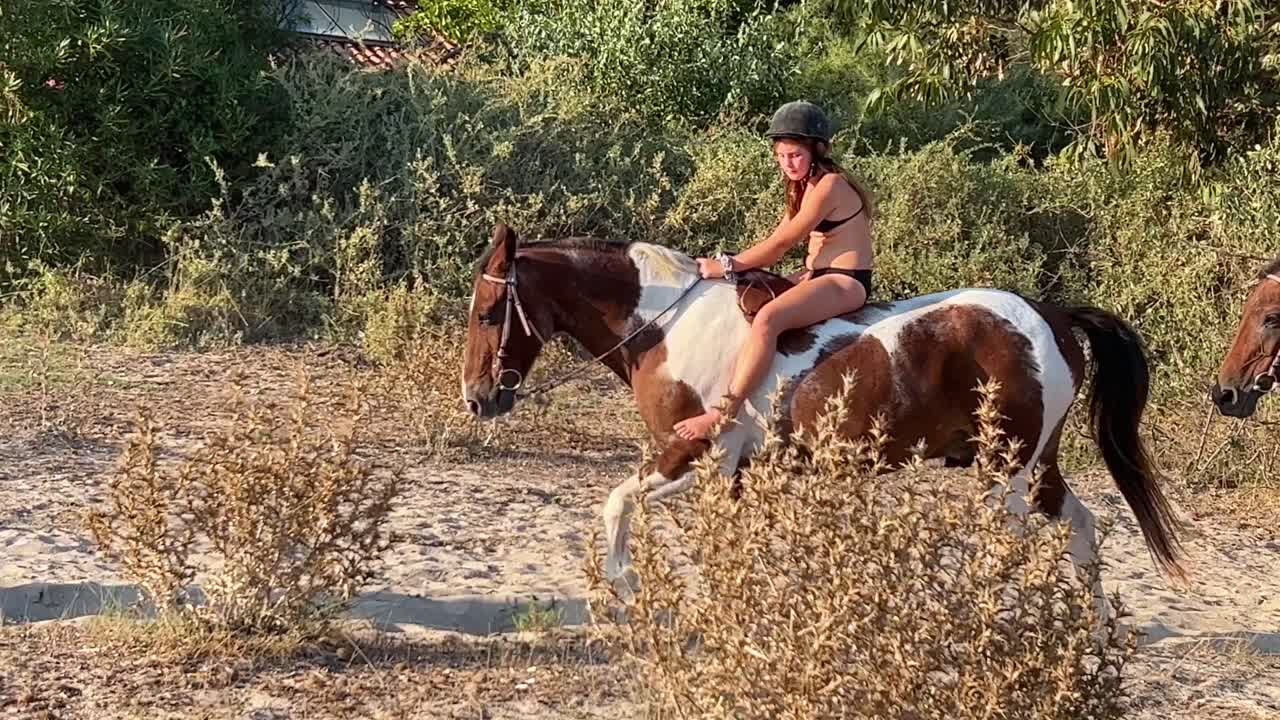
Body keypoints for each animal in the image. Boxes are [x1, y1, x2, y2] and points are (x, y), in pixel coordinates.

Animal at [463, 222, 1187, 609]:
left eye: (489, 313)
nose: (477, 397)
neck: (664, 325)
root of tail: (1053, 316)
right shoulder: (734, 472)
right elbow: (729, 544)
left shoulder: (692, 453)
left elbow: (618, 503)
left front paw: (623, 592)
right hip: (1035, 468)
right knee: (1082, 528)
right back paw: (1090, 627)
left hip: (1003, 471)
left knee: (1009, 548)